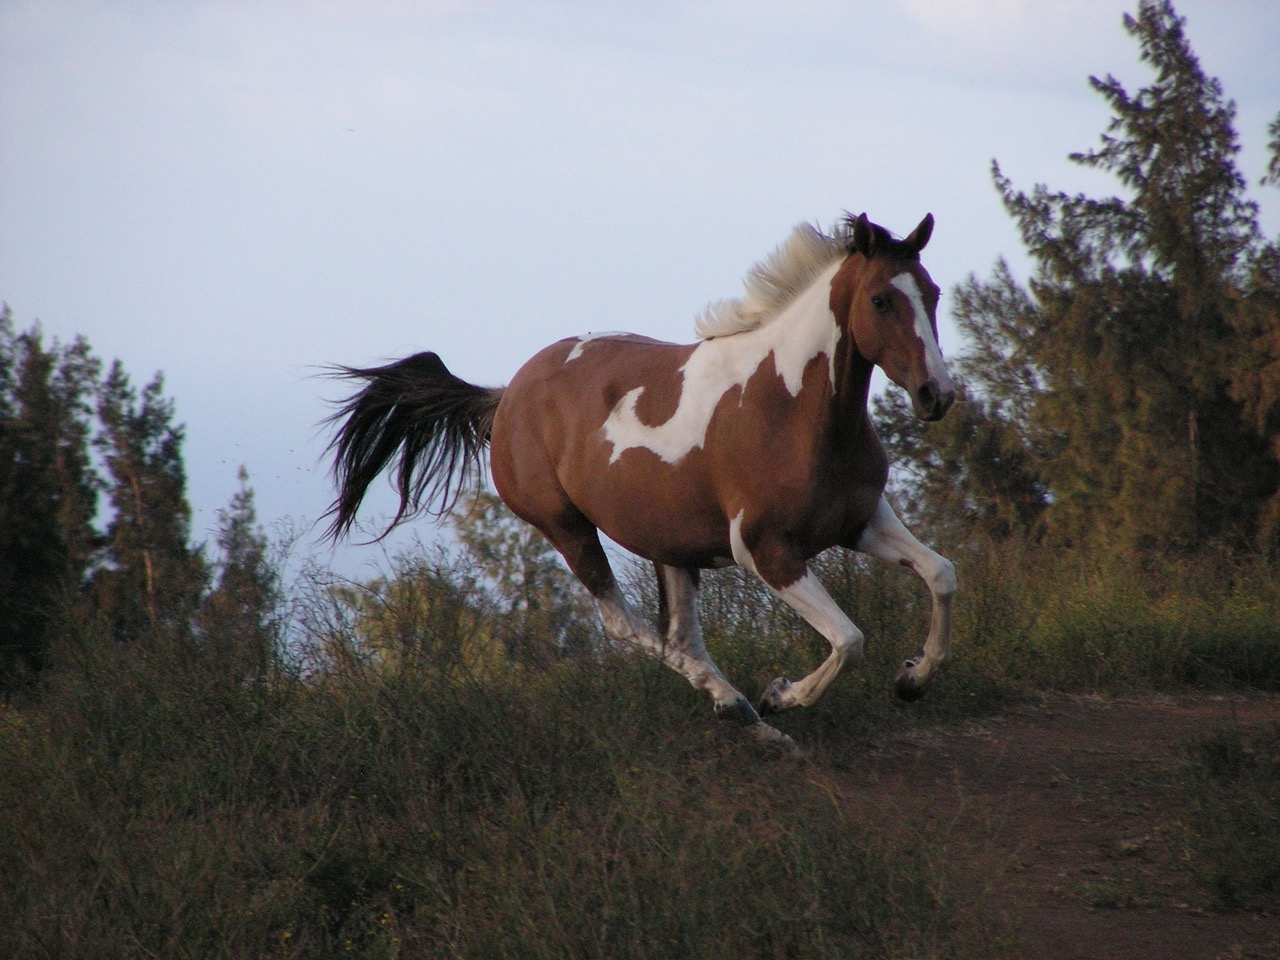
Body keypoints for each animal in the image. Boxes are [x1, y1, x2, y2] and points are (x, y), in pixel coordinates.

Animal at [325, 212, 957, 752]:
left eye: (932, 294)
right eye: (880, 300)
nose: (937, 395)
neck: (793, 406)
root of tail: (505, 397)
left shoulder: (861, 520)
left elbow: (940, 574)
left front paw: (913, 679)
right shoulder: (766, 551)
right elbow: (849, 640)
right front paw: (782, 694)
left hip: (669, 544)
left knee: (679, 635)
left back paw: (758, 728)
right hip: (568, 529)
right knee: (623, 624)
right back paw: (741, 706)